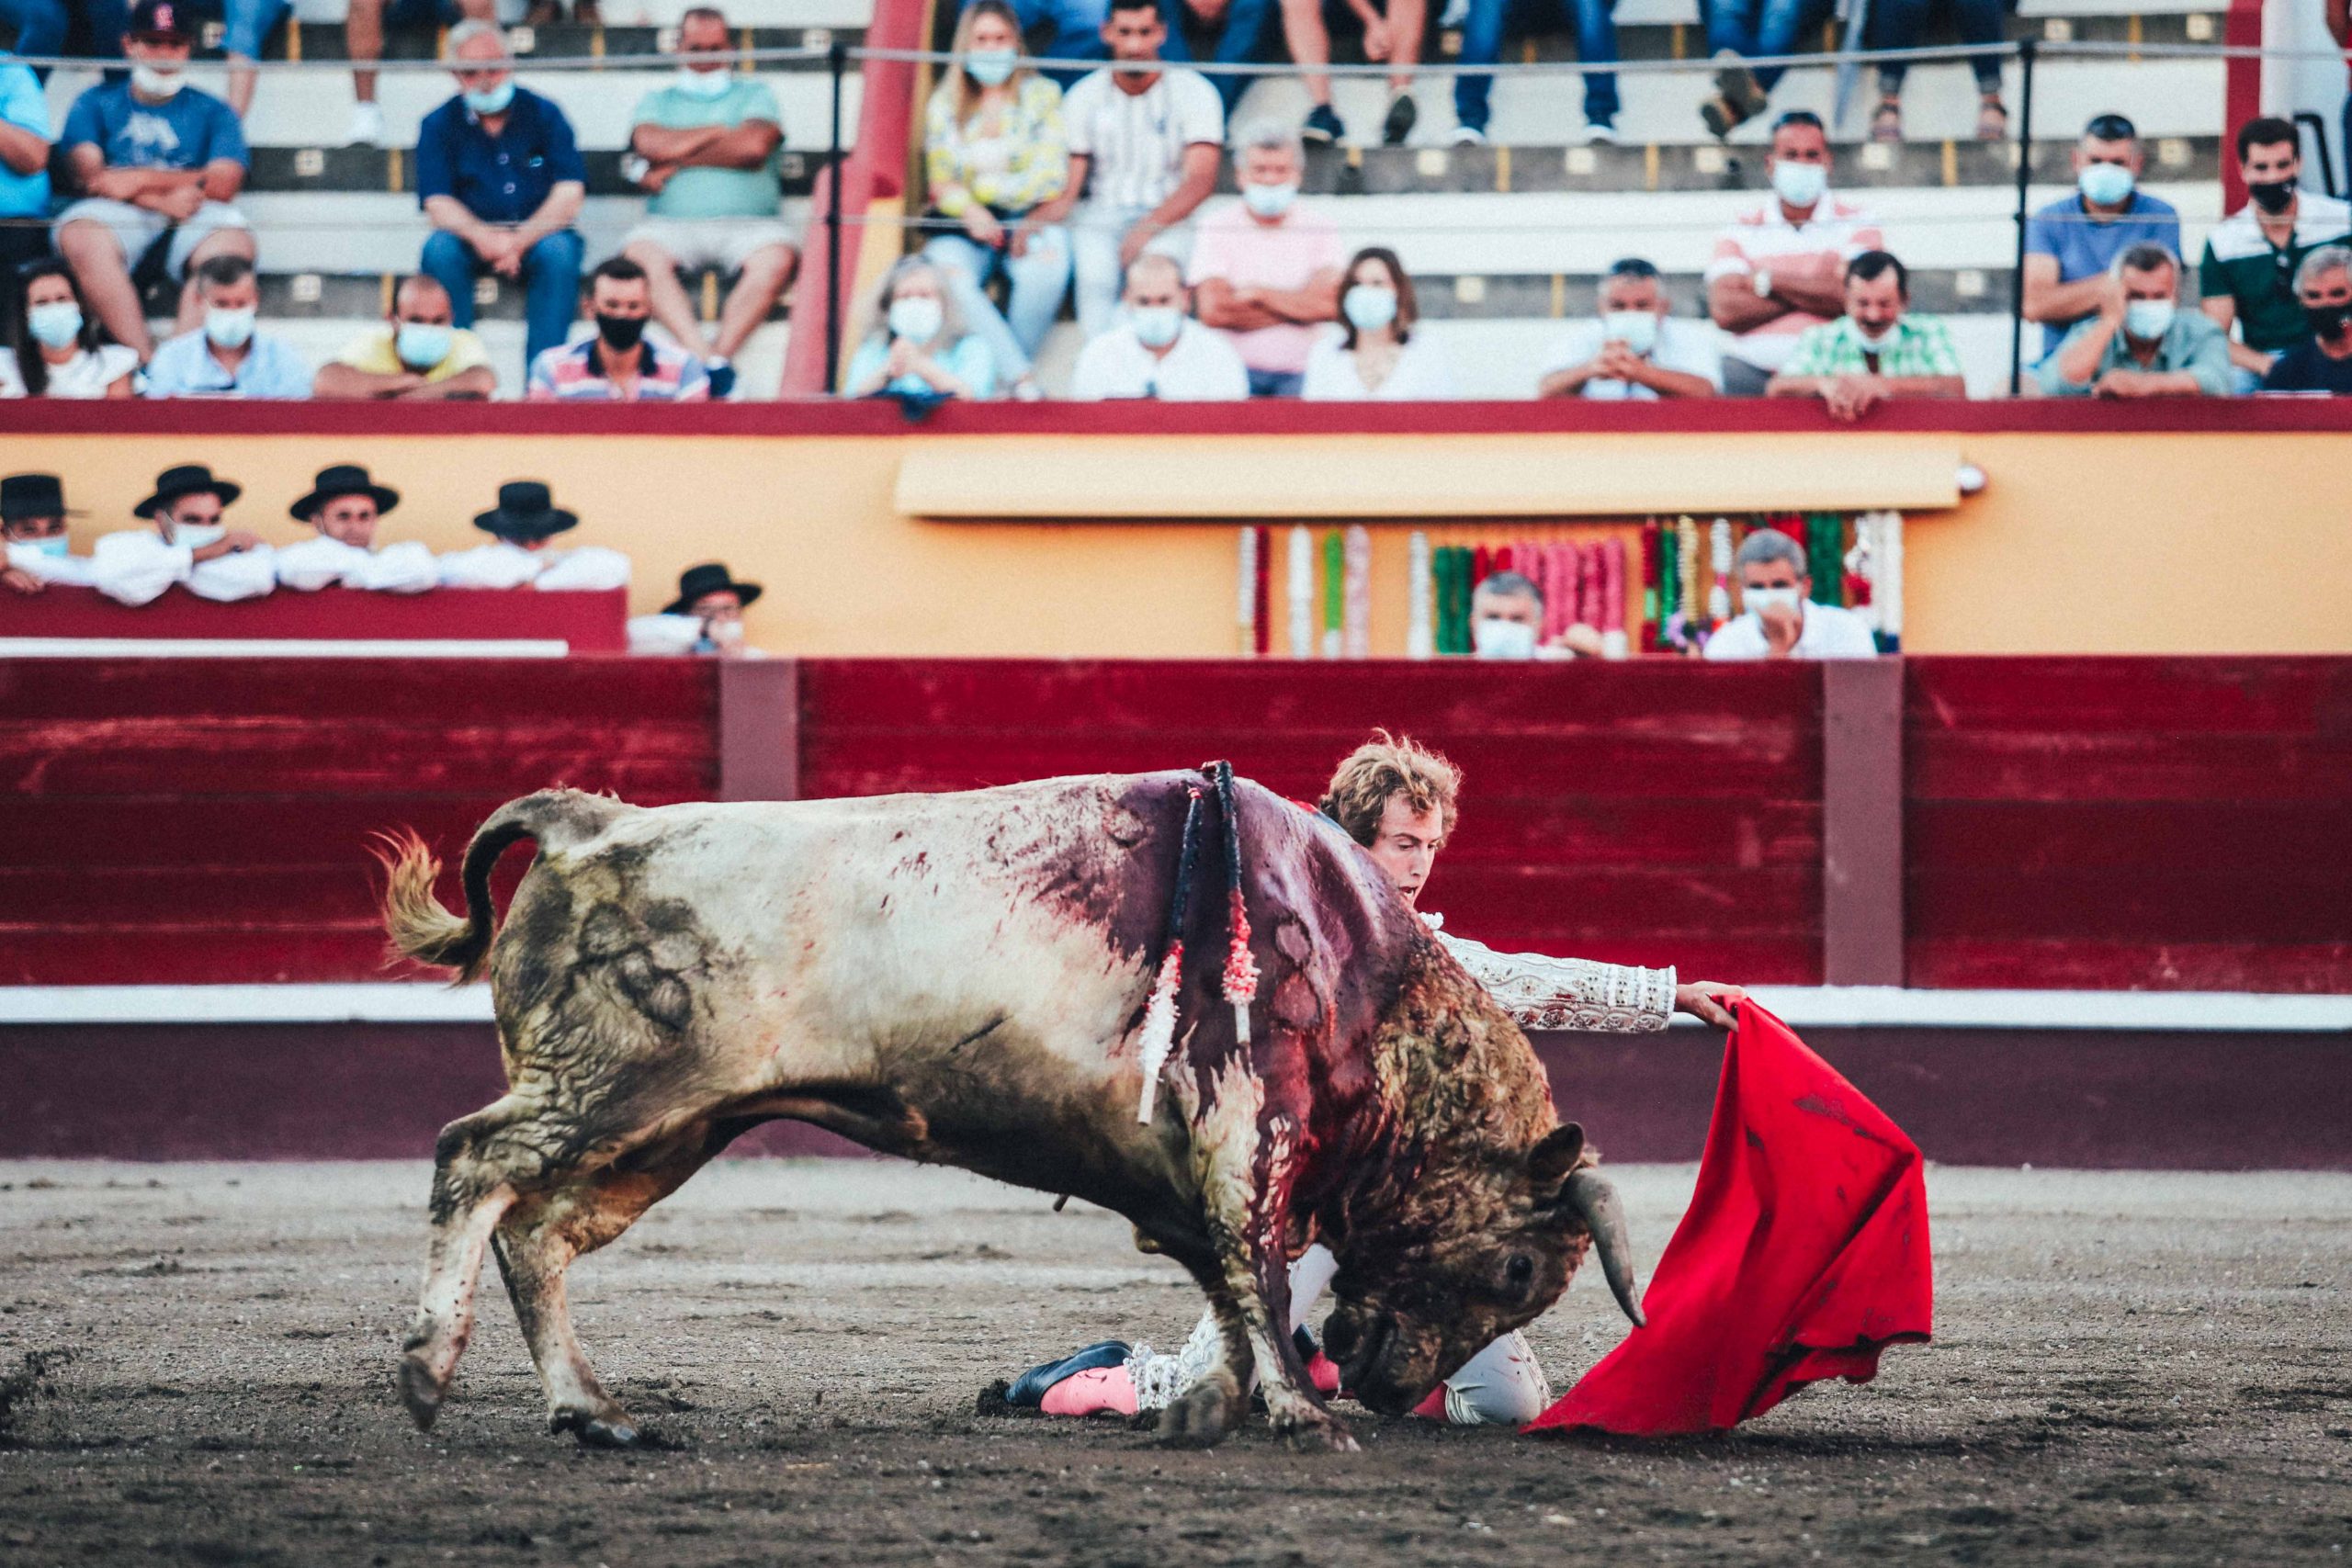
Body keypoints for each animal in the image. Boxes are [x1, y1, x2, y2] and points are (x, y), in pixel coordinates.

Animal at [382, 767, 1641, 1453]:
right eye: (1520, 1271)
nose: (1388, 1386)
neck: (1366, 980)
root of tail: (591, 820)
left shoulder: (1185, 1165)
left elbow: (1225, 1288)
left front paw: (1211, 1407)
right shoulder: (1249, 1129)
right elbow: (1258, 1271)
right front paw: (1299, 1413)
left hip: (675, 1125)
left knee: (540, 1234)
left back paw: (592, 1411)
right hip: (612, 1085)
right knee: (471, 1159)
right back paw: (428, 1373)